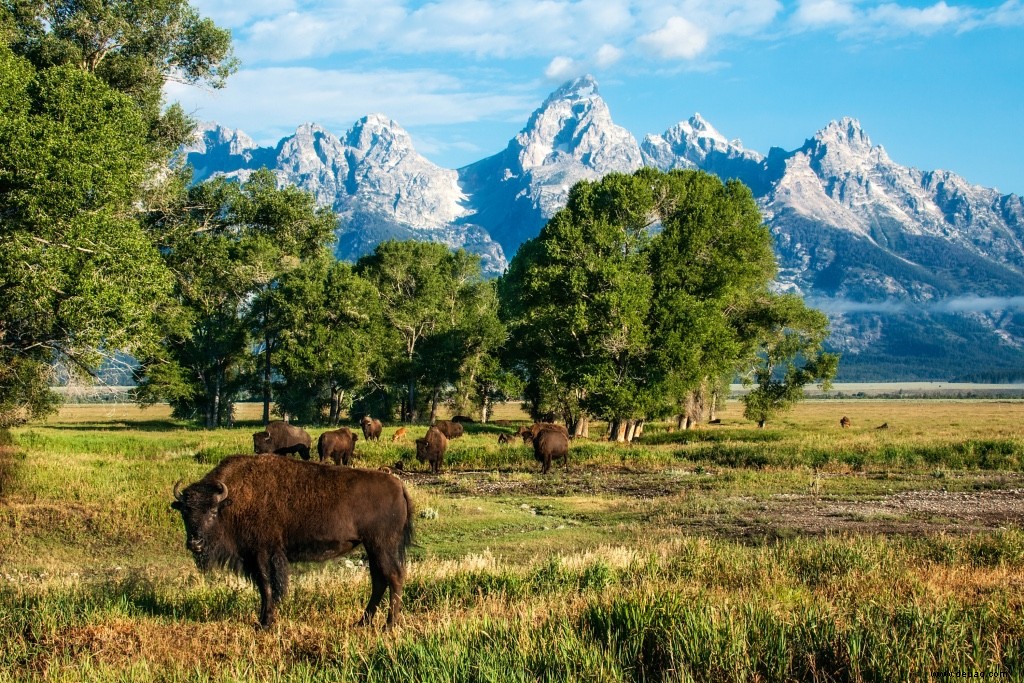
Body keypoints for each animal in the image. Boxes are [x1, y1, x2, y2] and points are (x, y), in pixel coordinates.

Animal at [171, 456, 411, 626]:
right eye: (184, 512)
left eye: (212, 511)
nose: (195, 544)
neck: (231, 501)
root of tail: (398, 486)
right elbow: (263, 587)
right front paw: (263, 620)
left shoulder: (263, 553)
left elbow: (268, 586)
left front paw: (265, 623)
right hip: (373, 548)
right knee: (379, 581)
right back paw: (362, 622)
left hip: (382, 546)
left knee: (394, 577)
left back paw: (389, 625)